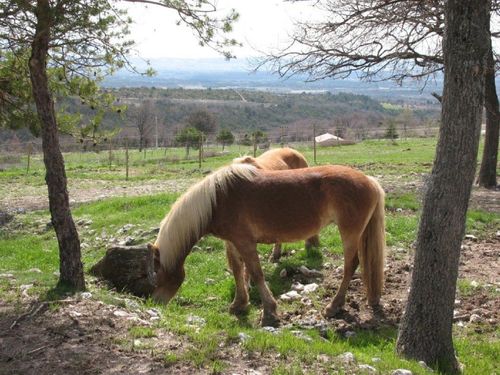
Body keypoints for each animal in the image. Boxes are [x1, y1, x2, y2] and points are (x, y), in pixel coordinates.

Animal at [148, 163, 386, 328]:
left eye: (156, 276)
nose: (154, 303)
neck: (216, 200)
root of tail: (370, 181)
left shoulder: (245, 242)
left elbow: (255, 273)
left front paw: (269, 312)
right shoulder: (233, 242)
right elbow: (238, 271)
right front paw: (239, 304)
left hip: (349, 234)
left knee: (350, 266)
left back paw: (333, 307)